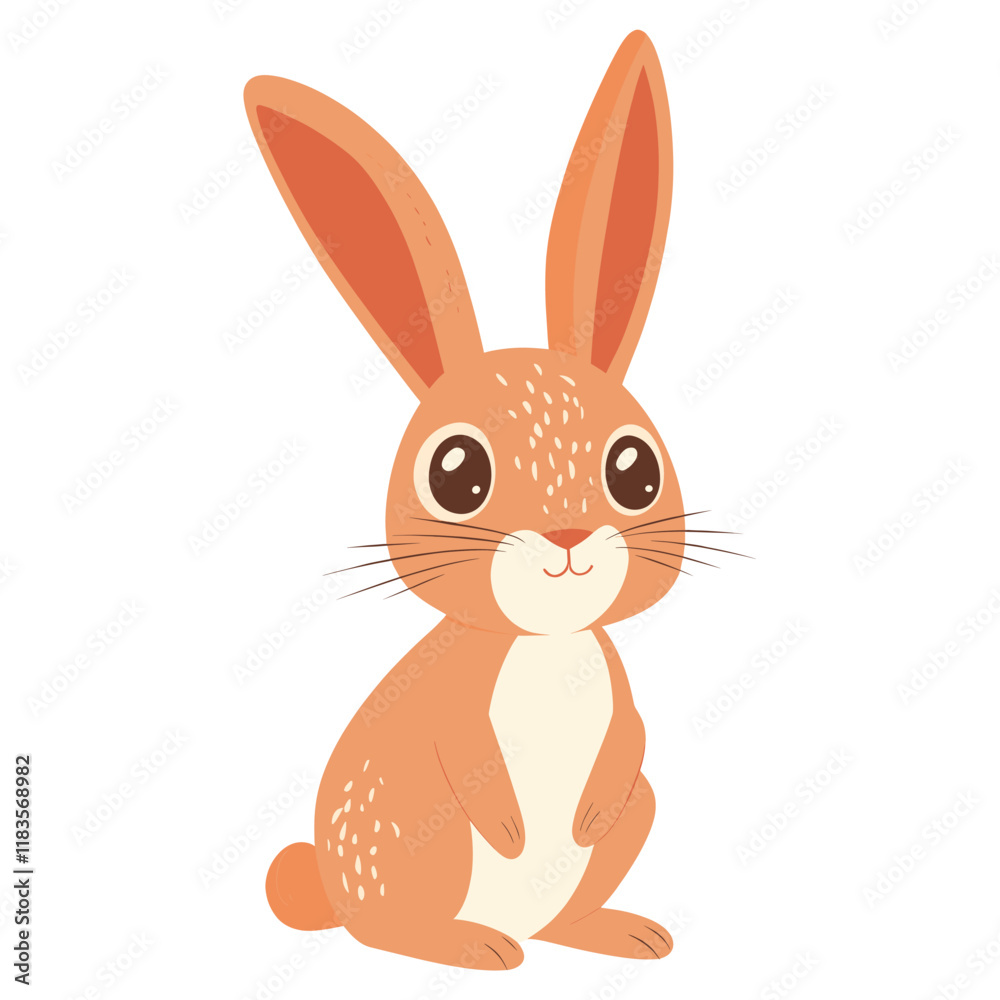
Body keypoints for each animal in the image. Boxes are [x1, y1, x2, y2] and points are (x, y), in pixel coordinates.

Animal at [246, 29, 685, 970]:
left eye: (634, 470)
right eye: (456, 475)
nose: (567, 534)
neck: (546, 645)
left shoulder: (618, 695)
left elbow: (627, 736)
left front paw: (585, 814)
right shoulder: (452, 705)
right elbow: (462, 747)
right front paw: (513, 827)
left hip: (639, 814)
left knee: (566, 907)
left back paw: (610, 931)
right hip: (421, 838)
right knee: (391, 929)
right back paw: (472, 946)